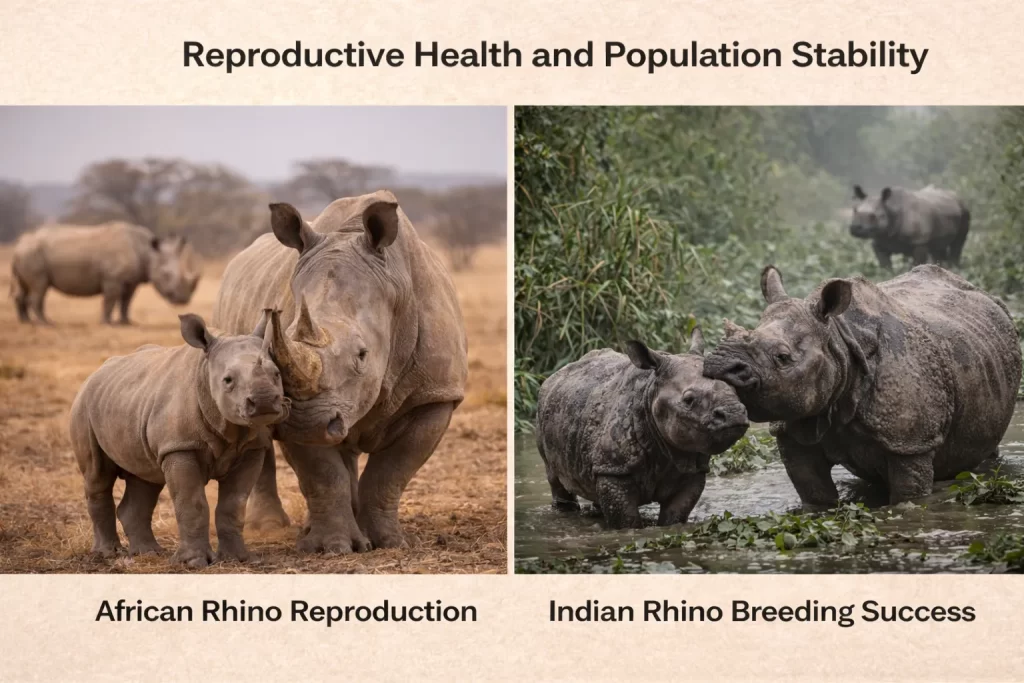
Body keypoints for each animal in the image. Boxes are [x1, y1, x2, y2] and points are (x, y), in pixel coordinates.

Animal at [10, 222, 202, 324]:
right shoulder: (113, 279)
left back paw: (26, 322)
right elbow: (110, 300)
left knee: (25, 288)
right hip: (32, 254)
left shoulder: (131, 281)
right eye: (166, 275)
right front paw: (108, 323)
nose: (183, 300)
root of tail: (19, 243)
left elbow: (126, 302)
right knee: (40, 287)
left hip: (27, 254)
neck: (147, 253)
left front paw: (126, 323)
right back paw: (46, 324)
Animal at [69, 309, 290, 567]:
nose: (264, 401)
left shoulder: (251, 448)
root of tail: (95, 373)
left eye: (277, 374)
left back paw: (149, 553)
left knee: (146, 478)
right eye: (227, 380)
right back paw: (108, 553)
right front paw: (194, 563)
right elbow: (192, 503)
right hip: (84, 405)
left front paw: (239, 558)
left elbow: (234, 504)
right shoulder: (180, 447)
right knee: (98, 475)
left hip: (130, 400)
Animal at [212, 190, 468, 553]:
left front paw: (389, 542)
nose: (305, 424)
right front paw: (331, 546)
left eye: (362, 355)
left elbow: (391, 472)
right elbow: (323, 475)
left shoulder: (435, 394)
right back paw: (273, 527)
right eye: (273, 351)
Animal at [535, 330, 749, 529]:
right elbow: (626, 521)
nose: (734, 414)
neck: (651, 391)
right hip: (544, 412)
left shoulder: (692, 471)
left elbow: (674, 516)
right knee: (554, 476)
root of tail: (557, 374)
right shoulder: (614, 470)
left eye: (735, 390)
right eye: (688, 400)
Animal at [704, 265, 1021, 506]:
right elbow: (816, 496)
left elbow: (909, 496)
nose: (718, 364)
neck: (837, 341)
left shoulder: (912, 442)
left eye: (782, 357)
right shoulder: (796, 430)